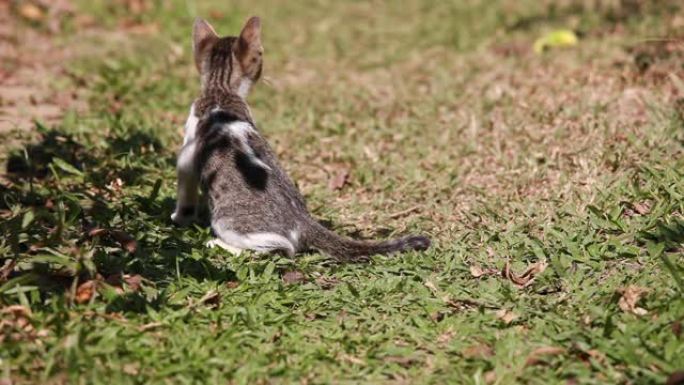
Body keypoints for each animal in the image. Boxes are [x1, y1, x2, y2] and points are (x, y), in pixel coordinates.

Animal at [171, 15, 430, 260]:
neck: (220, 91)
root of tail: (303, 221)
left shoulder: (187, 155)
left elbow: (185, 192)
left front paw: (178, 218)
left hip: (227, 221)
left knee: (281, 248)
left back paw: (220, 245)